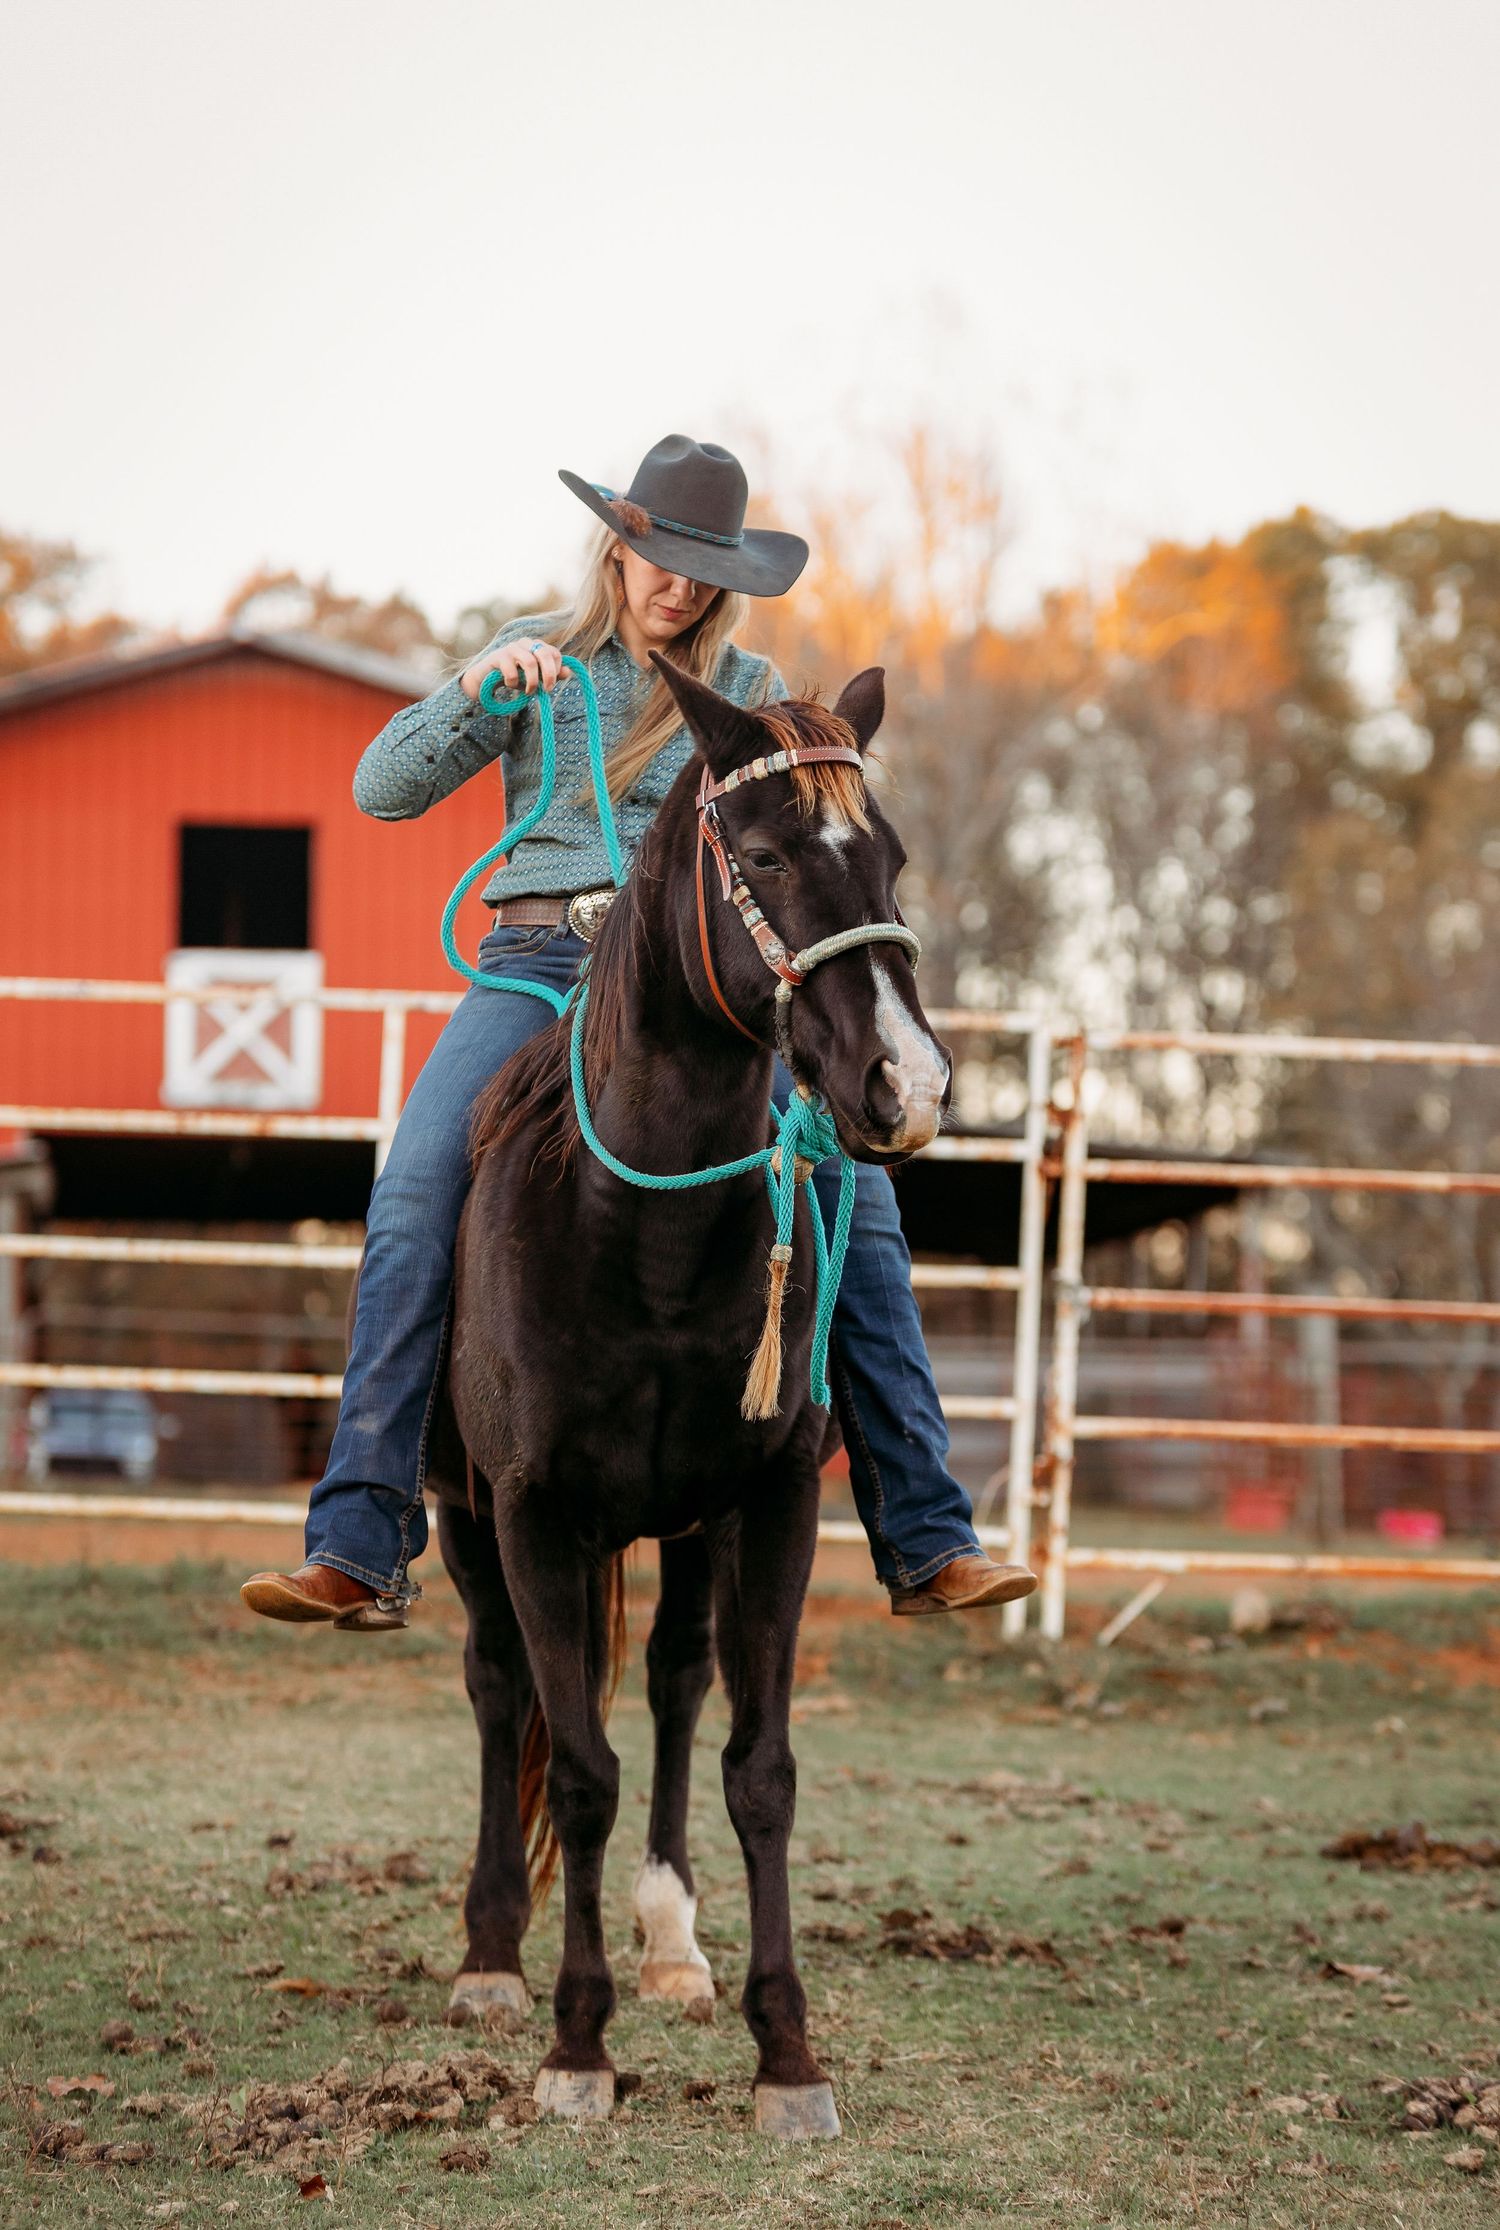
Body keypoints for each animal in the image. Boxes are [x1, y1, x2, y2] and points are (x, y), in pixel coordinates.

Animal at [429, 654, 951, 2139]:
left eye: (890, 856)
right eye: (766, 856)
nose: (907, 1082)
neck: (640, 1236)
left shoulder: (767, 1503)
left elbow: (757, 1767)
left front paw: (789, 2054)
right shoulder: (535, 1513)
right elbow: (578, 1771)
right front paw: (575, 2046)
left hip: (684, 1525)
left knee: (671, 1681)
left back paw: (672, 1941)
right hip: (462, 1518)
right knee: (500, 1690)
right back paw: (491, 1959)